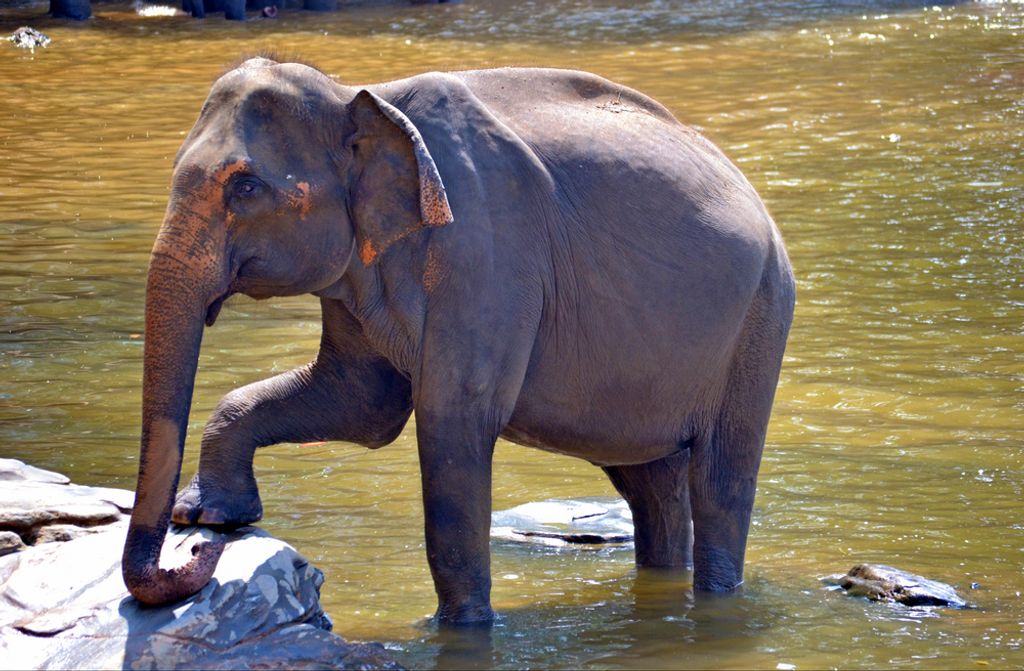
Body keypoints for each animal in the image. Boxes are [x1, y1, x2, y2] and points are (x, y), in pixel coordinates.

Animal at [121, 58, 796, 625]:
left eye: (245, 187)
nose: (196, 555)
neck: (359, 93)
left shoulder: (487, 250)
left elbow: (454, 418)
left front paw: (458, 629)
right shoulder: (360, 266)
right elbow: (360, 405)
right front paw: (211, 514)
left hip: (760, 320)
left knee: (720, 482)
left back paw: (717, 596)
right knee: (651, 484)